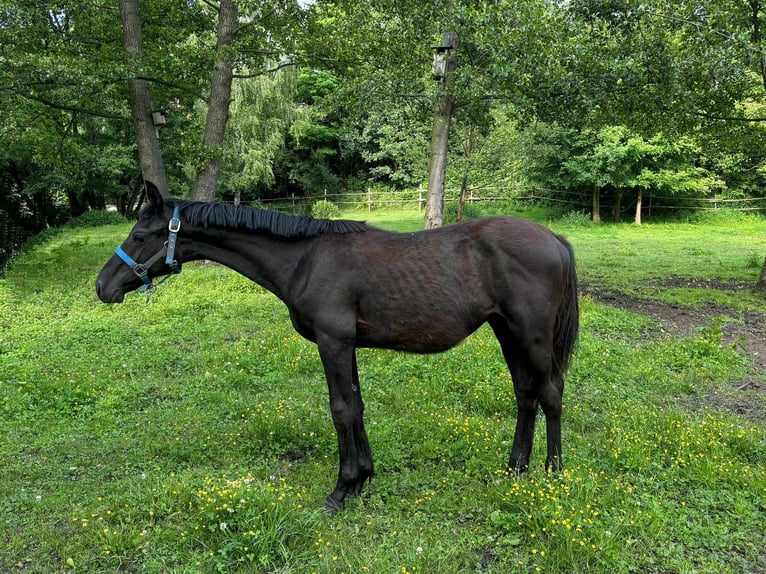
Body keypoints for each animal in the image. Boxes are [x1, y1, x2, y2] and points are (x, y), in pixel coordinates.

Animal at [96, 184, 580, 512]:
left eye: (139, 235)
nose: (103, 287)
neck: (306, 259)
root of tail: (555, 239)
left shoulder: (333, 341)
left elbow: (340, 409)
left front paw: (342, 488)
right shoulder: (347, 345)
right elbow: (357, 405)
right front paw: (364, 478)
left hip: (532, 337)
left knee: (551, 393)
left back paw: (552, 473)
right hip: (507, 332)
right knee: (525, 394)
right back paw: (514, 469)